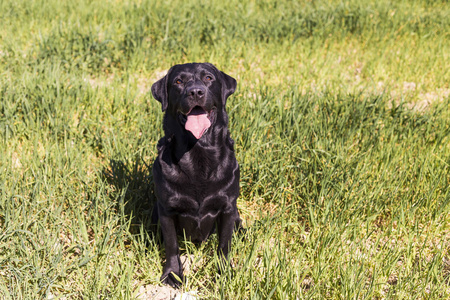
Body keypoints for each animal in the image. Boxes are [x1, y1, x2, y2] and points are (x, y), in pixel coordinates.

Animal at [151, 62, 241, 288]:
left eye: (208, 78)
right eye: (178, 81)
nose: (195, 92)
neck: (198, 151)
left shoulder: (228, 207)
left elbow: (224, 244)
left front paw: (224, 272)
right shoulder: (166, 209)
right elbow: (172, 245)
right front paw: (173, 274)